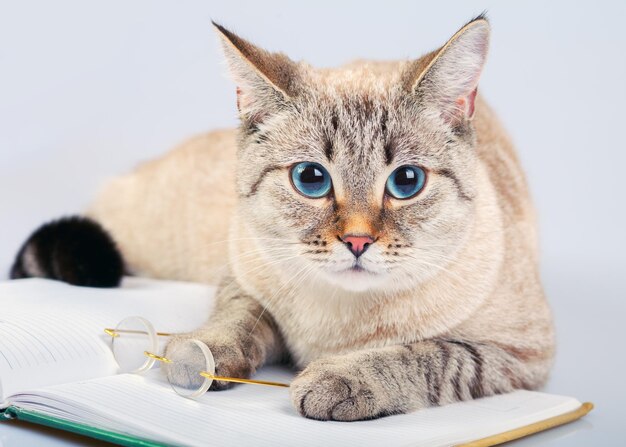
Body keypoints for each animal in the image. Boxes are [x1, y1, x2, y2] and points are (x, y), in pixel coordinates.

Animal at [13, 16, 552, 424]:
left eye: (407, 181)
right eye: (311, 178)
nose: (358, 241)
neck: (337, 321)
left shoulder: (519, 354)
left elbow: (427, 354)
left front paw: (342, 378)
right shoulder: (243, 274)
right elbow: (235, 319)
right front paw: (200, 355)